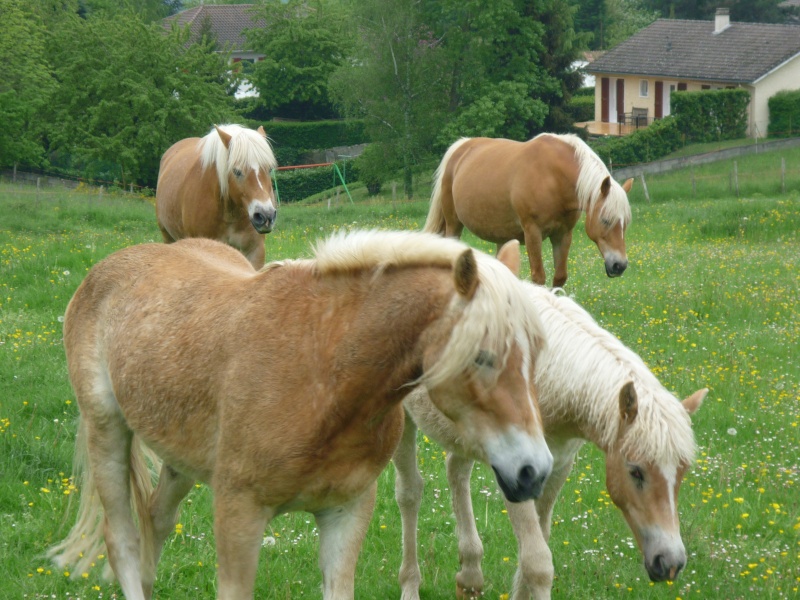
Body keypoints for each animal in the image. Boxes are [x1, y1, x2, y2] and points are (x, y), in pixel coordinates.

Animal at [48, 230, 552, 600]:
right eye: (483, 357)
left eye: (538, 351)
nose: (535, 471)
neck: (323, 372)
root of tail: (109, 267)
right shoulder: (239, 514)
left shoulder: (345, 514)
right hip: (107, 430)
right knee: (124, 542)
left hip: (179, 459)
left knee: (155, 523)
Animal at [396, 284, 704, 600]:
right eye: (636, 471)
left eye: (683, 471)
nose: (670, 563)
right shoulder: (516, 475)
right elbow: (538, 562)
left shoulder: (557, 467)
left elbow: (534, 549)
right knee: (410, 493)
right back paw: (410, 585)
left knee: (456, 471)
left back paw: (470, 576)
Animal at [422, 134, 636, 288]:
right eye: (606, 220)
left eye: (626, 223)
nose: (620, 265)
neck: (553, 177)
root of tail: (461, 147)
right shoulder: (533, 232)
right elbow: (538, 277)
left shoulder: (563, 235)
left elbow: (560, 277)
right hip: (454, 224)